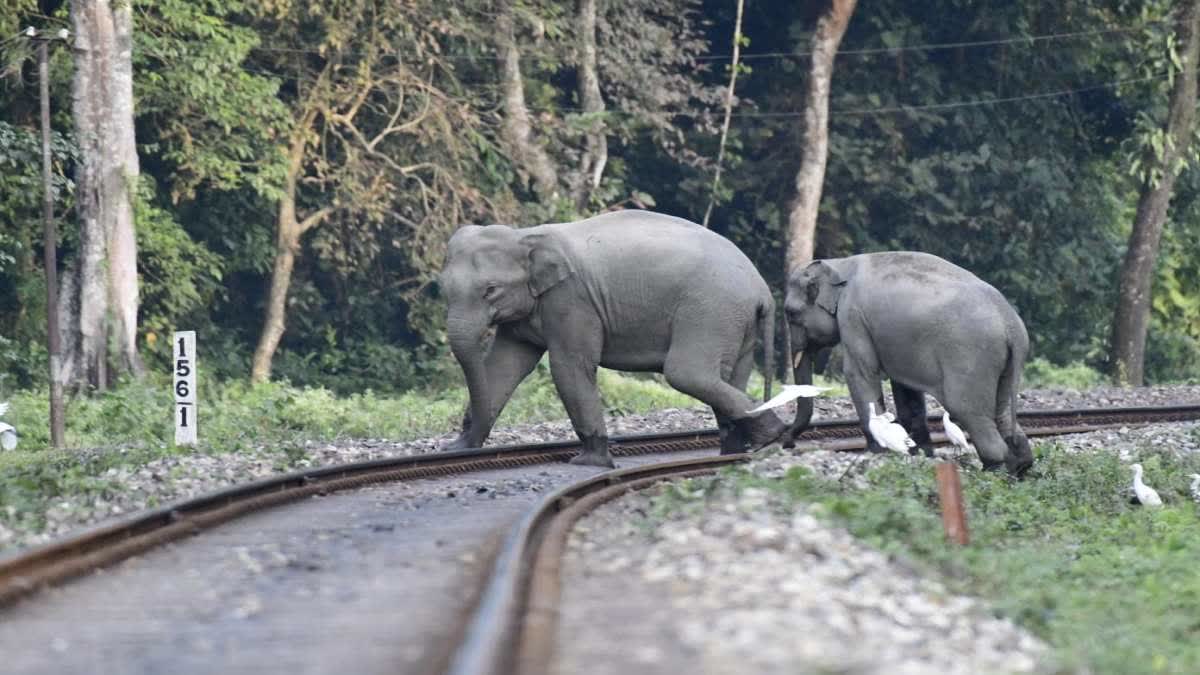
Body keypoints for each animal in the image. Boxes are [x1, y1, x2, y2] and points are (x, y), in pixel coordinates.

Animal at [441, 207, 787, 466]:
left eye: (490, 290)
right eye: (440, 289)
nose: (463, 440)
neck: (525, 236)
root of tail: (762, 289)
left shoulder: (572, 300)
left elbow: (569, 366)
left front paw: (589, 462)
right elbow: (504, 366)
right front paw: (456, 450)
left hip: (711, 310)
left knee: (688, 373)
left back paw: (772, 436)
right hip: (735, 322)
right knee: (728, 376)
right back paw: (737, 451)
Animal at [782, 249, 1036, 475]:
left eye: (790, 313)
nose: (787, 443)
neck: (840, 263)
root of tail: (1011, 325)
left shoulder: (853, 317)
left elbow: (860, 373)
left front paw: (878, 452)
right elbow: (905, 388)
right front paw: (921, 453)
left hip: (971, 358)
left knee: (967, 410)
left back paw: (995, 469)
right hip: (1002, 362)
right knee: (1001, 410)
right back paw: (1020, 466)